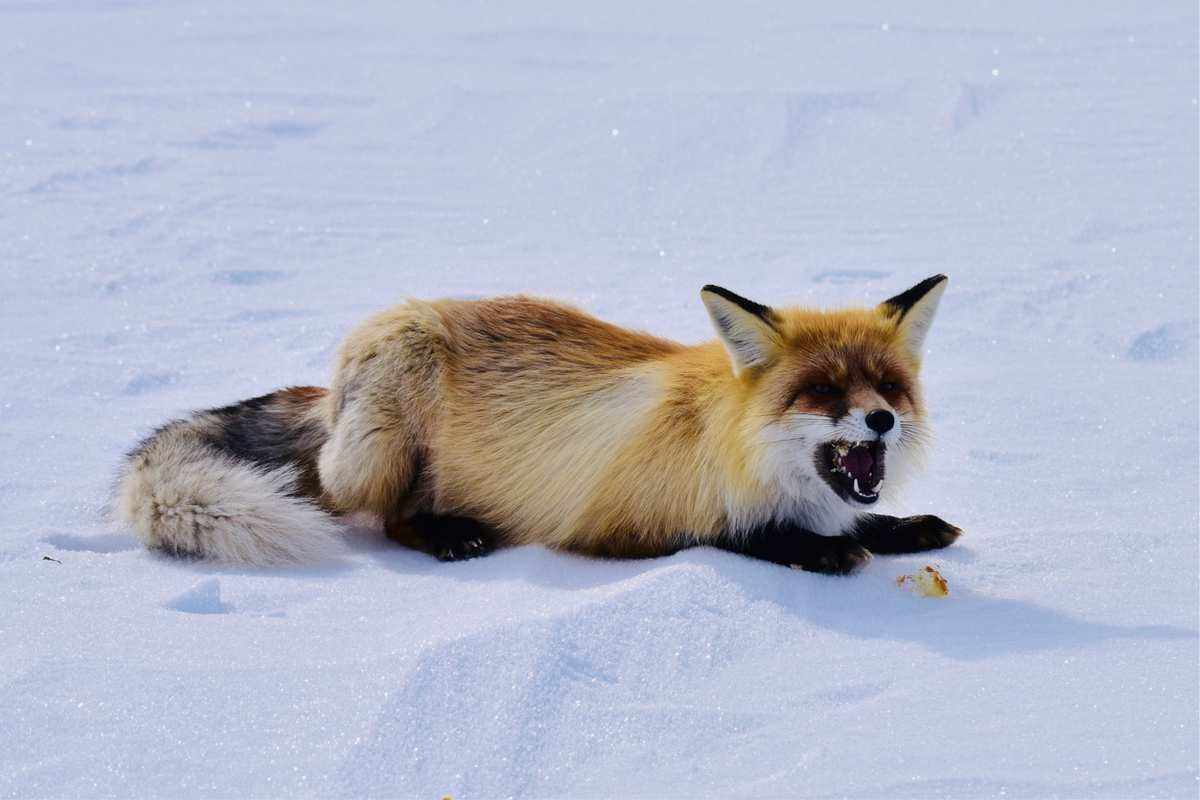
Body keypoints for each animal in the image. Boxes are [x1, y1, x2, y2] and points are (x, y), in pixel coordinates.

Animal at [117, 277, 960, 575]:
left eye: (889, 385)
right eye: (821, 390)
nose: (881, 420)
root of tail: (326, 399)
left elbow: (868, 522)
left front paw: (905, 527)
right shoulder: (617, 524)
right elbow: (737, 535)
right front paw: (819, 549)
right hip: (383, 437)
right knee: (384, 516)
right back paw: (449, 534)